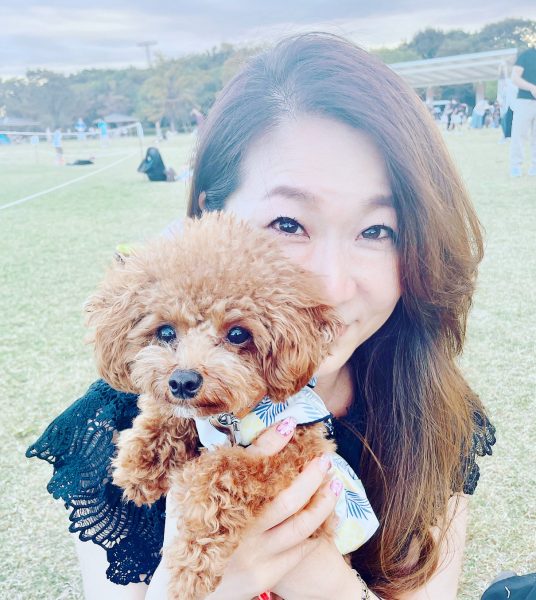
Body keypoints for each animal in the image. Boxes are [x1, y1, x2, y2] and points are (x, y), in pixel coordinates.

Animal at [85, 212, 376, 600]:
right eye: (165, 332)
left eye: (238, 334)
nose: (183, 381)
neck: (234, 416)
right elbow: (175, 417)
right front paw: (138, 464)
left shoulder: (293, 455)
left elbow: (224, 470)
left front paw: (190, 566)